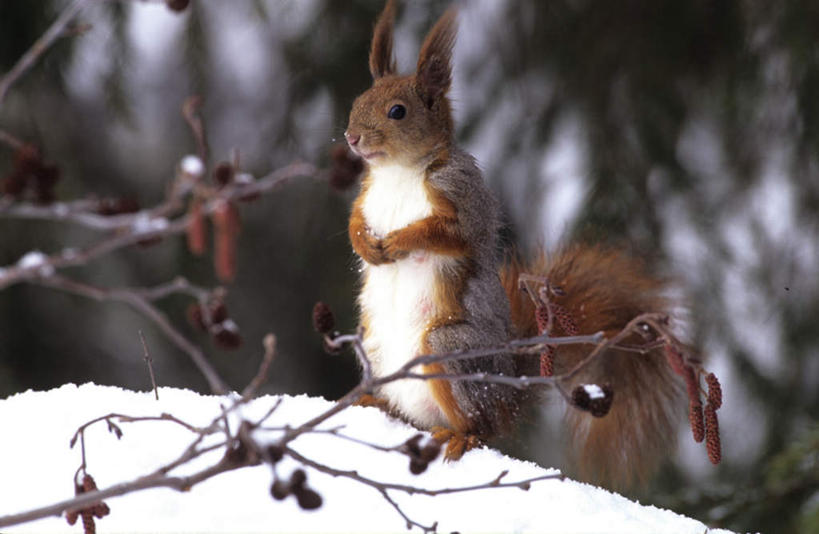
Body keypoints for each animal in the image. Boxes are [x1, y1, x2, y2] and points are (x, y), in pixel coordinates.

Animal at [344, 0, 680, 488]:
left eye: (397, 111)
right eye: (356, 103)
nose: (351, 138)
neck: (399, 172)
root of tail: (507, 398)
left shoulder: (466, 200)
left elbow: (453, 234)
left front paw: (401, 240)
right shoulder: (365, 197)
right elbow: (354, 222)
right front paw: (366, 245)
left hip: (450, 352)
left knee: (480, 425)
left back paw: (459, 435)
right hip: (373, 346)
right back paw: (373, 402)